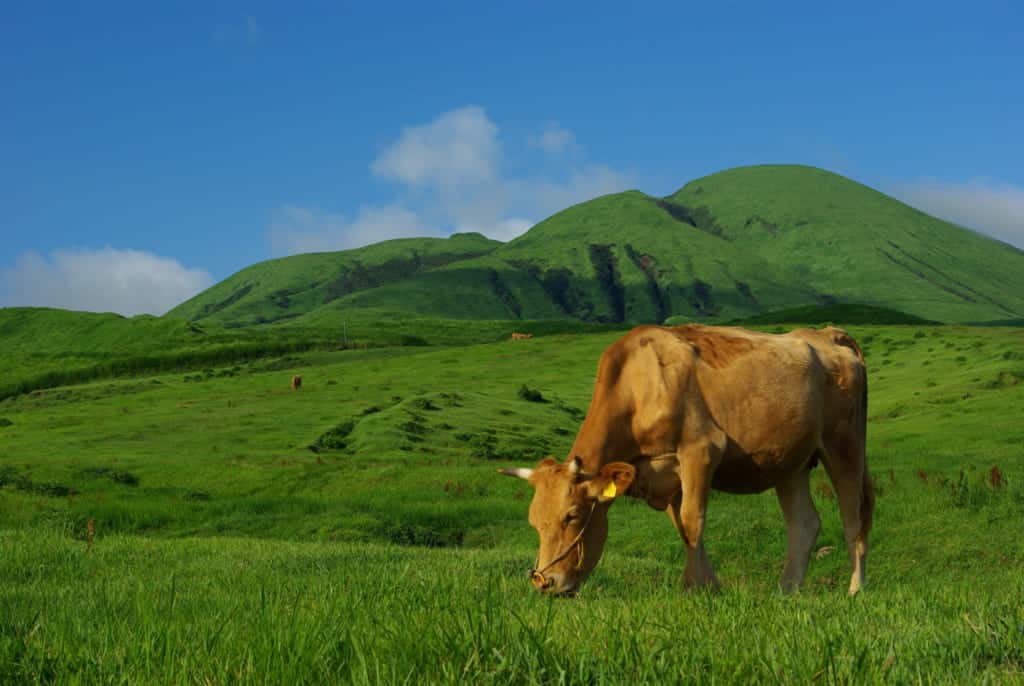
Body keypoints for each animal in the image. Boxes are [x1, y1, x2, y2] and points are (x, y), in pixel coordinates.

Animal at [499, 324, 872, 596]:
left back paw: (855, 590)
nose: (544, 581)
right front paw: (710, 585)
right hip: (790, 461)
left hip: (845, 445)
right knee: (804, 524)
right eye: (534, 522)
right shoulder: (664, 477)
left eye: (572, 516)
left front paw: (692, 586)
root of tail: (825, 334)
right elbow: (682, 526)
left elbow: (694, 521)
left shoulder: (701, 451)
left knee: (853, 517)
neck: (639, 385)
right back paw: (786, 590)